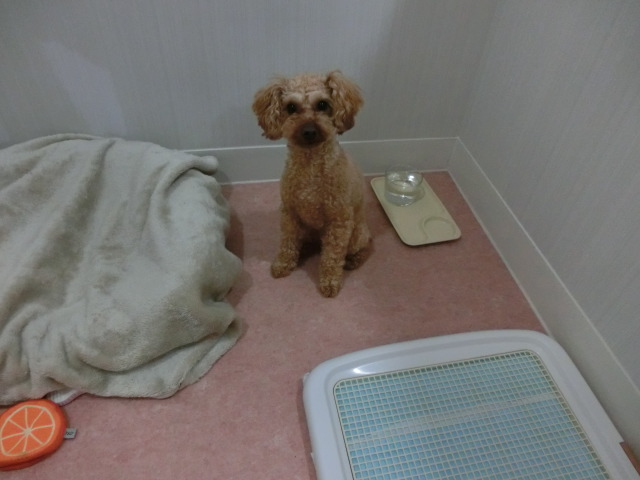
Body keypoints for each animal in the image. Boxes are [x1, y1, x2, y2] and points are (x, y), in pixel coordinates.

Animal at [252, 70, 371, 297]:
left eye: (322, 104)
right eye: (291, 107)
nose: (308, 131)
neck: (310, 167)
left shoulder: (339, 221)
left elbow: (332, 256)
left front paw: (330, 282)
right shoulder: (289, 213)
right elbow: (287, 242)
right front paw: (283, 264)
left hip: (356, 235)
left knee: (365, 246)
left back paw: (354, 260)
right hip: (307, 228)